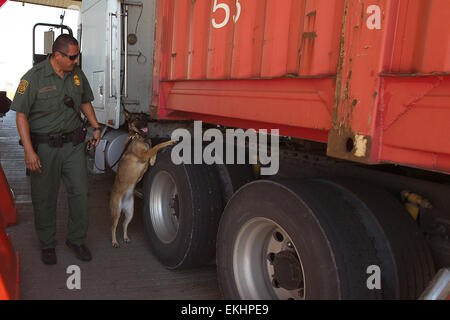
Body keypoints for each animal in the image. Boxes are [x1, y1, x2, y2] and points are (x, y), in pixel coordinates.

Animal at [110, 111, 175, 249]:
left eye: (144, 117)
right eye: (136, 118)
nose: (145, 123)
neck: (138, 136)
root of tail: (123, 203)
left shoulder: (146, 153)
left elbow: (153, 148)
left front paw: (153, 160)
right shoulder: (143, 155)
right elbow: (156, 146)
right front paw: (169, 142)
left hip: (130, 213)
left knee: (124, 224)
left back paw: (125, 237)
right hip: (116, 213)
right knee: (113, 227)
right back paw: (114, 242)